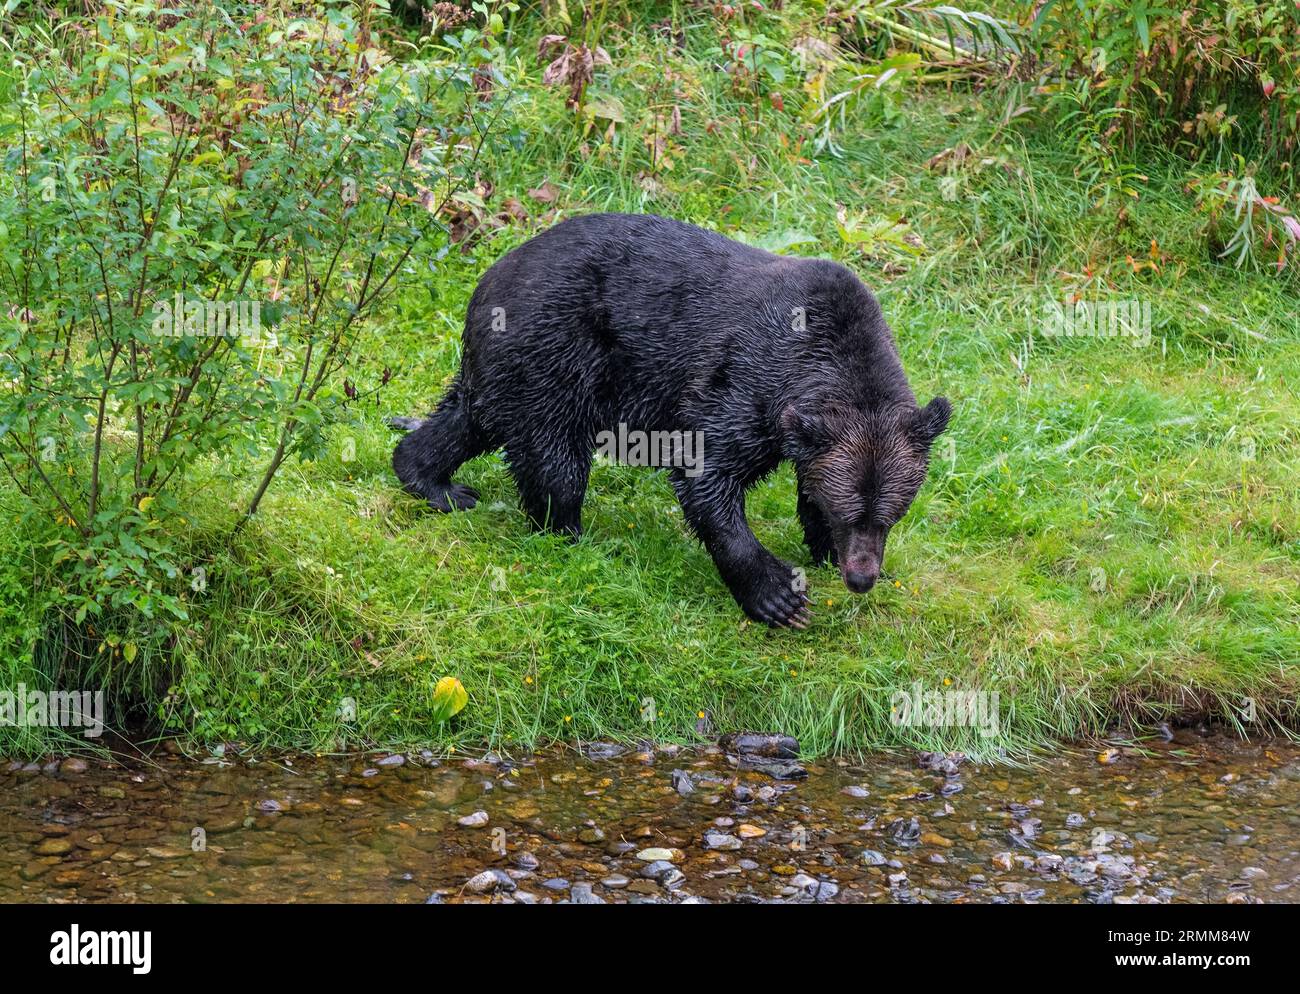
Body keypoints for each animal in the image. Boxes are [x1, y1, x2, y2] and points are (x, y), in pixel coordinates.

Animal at [390, 213, 951, 623]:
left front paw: (824, 553)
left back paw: (433, 480)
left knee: (470, 418)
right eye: (851, 513)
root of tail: (488, 276)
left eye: (890, 515)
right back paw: (568, 531)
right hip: (557, 351)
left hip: (509, 366)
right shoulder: (746, 379)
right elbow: (708, 471)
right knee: (555, 458)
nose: (861, 577)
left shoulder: (801, 425)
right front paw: (778, 595)